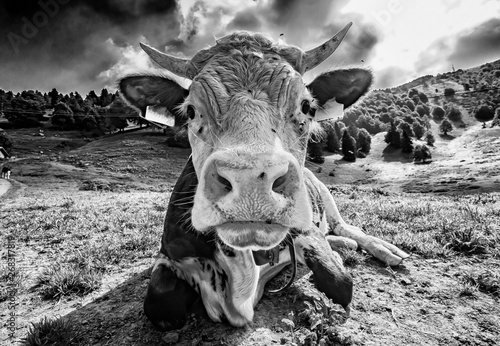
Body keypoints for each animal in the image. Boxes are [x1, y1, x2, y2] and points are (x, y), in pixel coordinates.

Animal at [119, 23, 408, 332]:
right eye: (191, 111)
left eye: (307, 107)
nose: (251, 185)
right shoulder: (169, 253)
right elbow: (161, 302)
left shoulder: (307, 231)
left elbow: (340, 282)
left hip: (326, 196)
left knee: (347, 228)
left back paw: (384, 249)